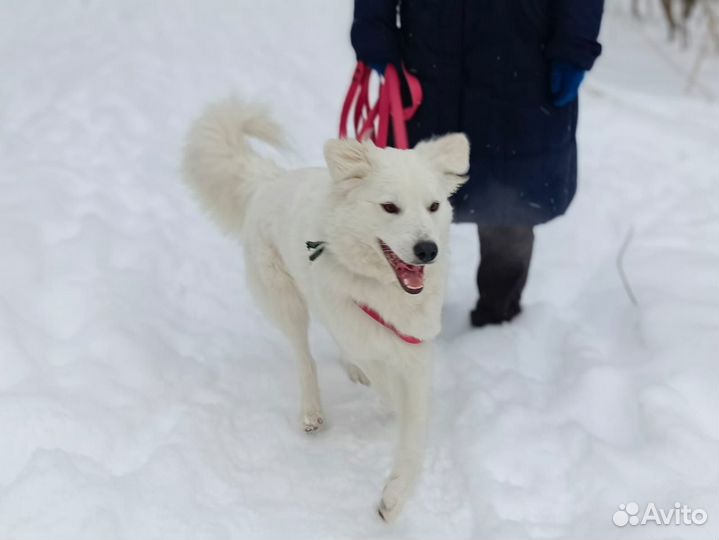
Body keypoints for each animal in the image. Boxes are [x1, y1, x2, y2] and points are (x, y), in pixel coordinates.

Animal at [183, 99, 470, 520]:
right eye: (390, 207)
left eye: (433, 206)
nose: (427, 250)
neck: (384, 292)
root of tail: (267, 180)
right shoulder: (369, 339)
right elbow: (389, 389)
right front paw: (390, 410)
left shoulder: (415, 350)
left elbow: (414, 429)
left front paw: (395, 497)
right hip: (286, 301)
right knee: (304, 356)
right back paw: (312, 410)